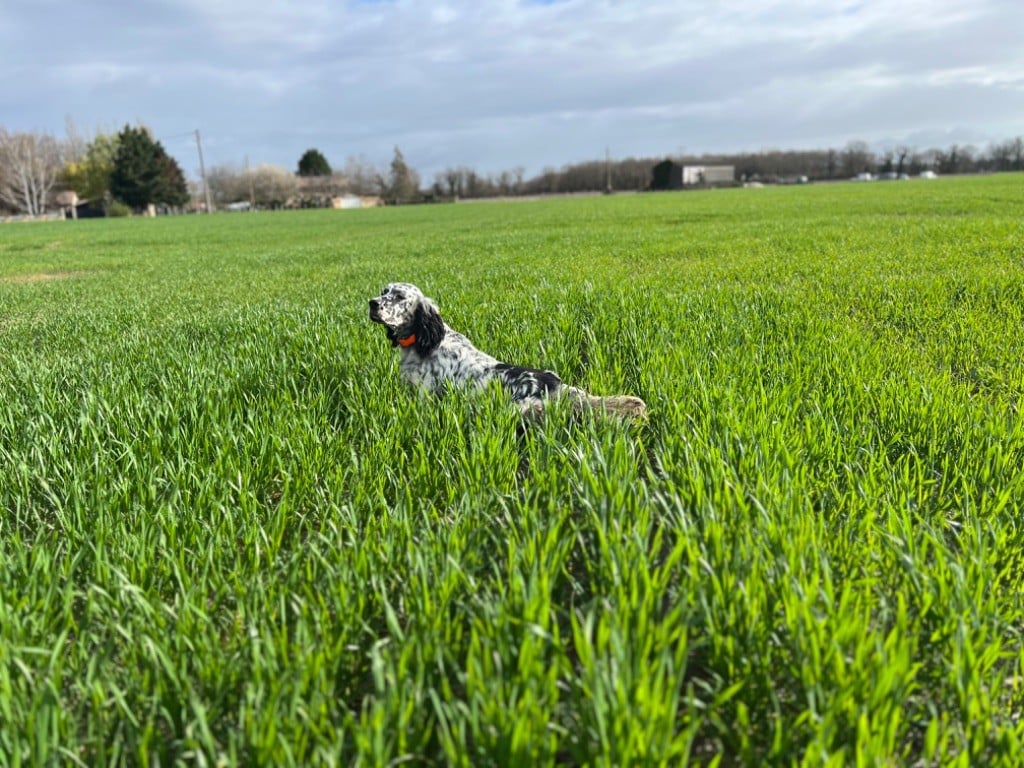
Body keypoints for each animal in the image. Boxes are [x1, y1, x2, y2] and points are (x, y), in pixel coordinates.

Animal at [364, 280, 643, 417]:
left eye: (399, 297)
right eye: (384, 291)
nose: (372, 303)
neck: (426, 340)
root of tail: (557, 385)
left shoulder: (424, 394)